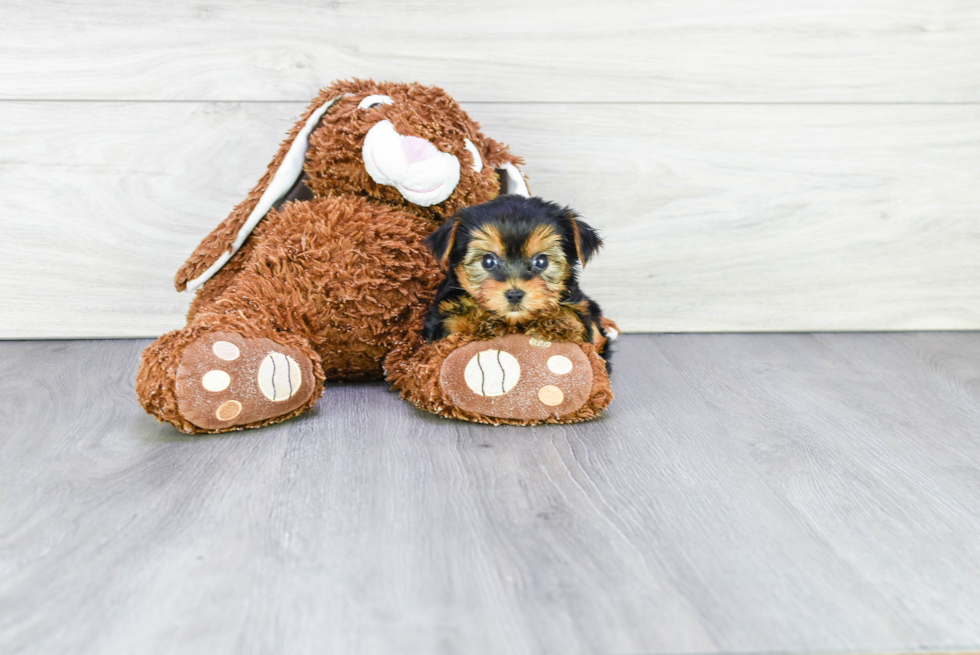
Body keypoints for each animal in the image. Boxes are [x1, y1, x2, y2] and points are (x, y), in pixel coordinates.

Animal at [422, 195, 612, 368]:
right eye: (488, 261)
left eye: (541, 261)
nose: (514, 294)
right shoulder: (444, 317)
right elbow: (455, 323)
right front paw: (480, 322)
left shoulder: (581, 309)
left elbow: (575, 321)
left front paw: (557, 322)